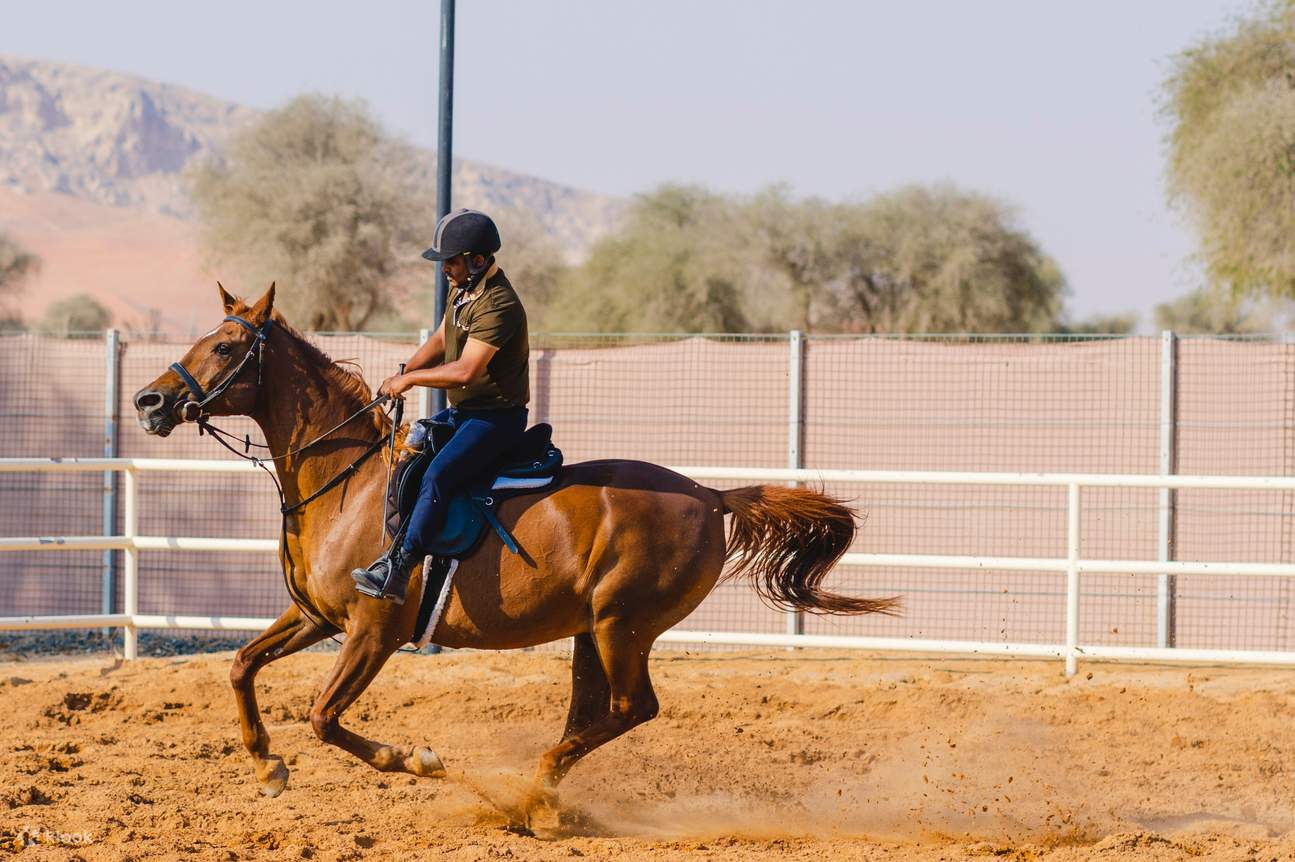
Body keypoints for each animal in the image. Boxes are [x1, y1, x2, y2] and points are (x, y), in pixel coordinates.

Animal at [132, 283, 898, 826]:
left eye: (225, 349)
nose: (149, 401)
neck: (347, 479)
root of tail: (710, 496)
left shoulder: (371, 632)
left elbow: (324, 718)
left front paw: (419, 759)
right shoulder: (316, 617)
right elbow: (240, 666)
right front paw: (268, 766)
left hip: (623, 626)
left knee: (631, 710)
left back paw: (528, 800)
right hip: (593, 633)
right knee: (594, 716)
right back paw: (542, 801)